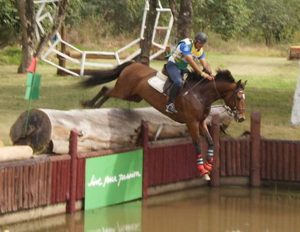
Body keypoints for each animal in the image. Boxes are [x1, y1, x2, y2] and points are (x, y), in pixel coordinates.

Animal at [80, 60, 246, 180]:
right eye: (238, 97)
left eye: (244, 98)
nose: (242, 117)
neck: (201, 95)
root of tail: (133, 64)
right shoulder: (191, 123)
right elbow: (198, 144)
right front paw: (202, 171)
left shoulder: (201, 122)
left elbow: (211, 142)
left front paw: (209, 167)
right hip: (124, 91)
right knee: (106, 90)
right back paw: (89, 104)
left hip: (134, 96)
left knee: (106, 90)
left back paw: (92, 105)